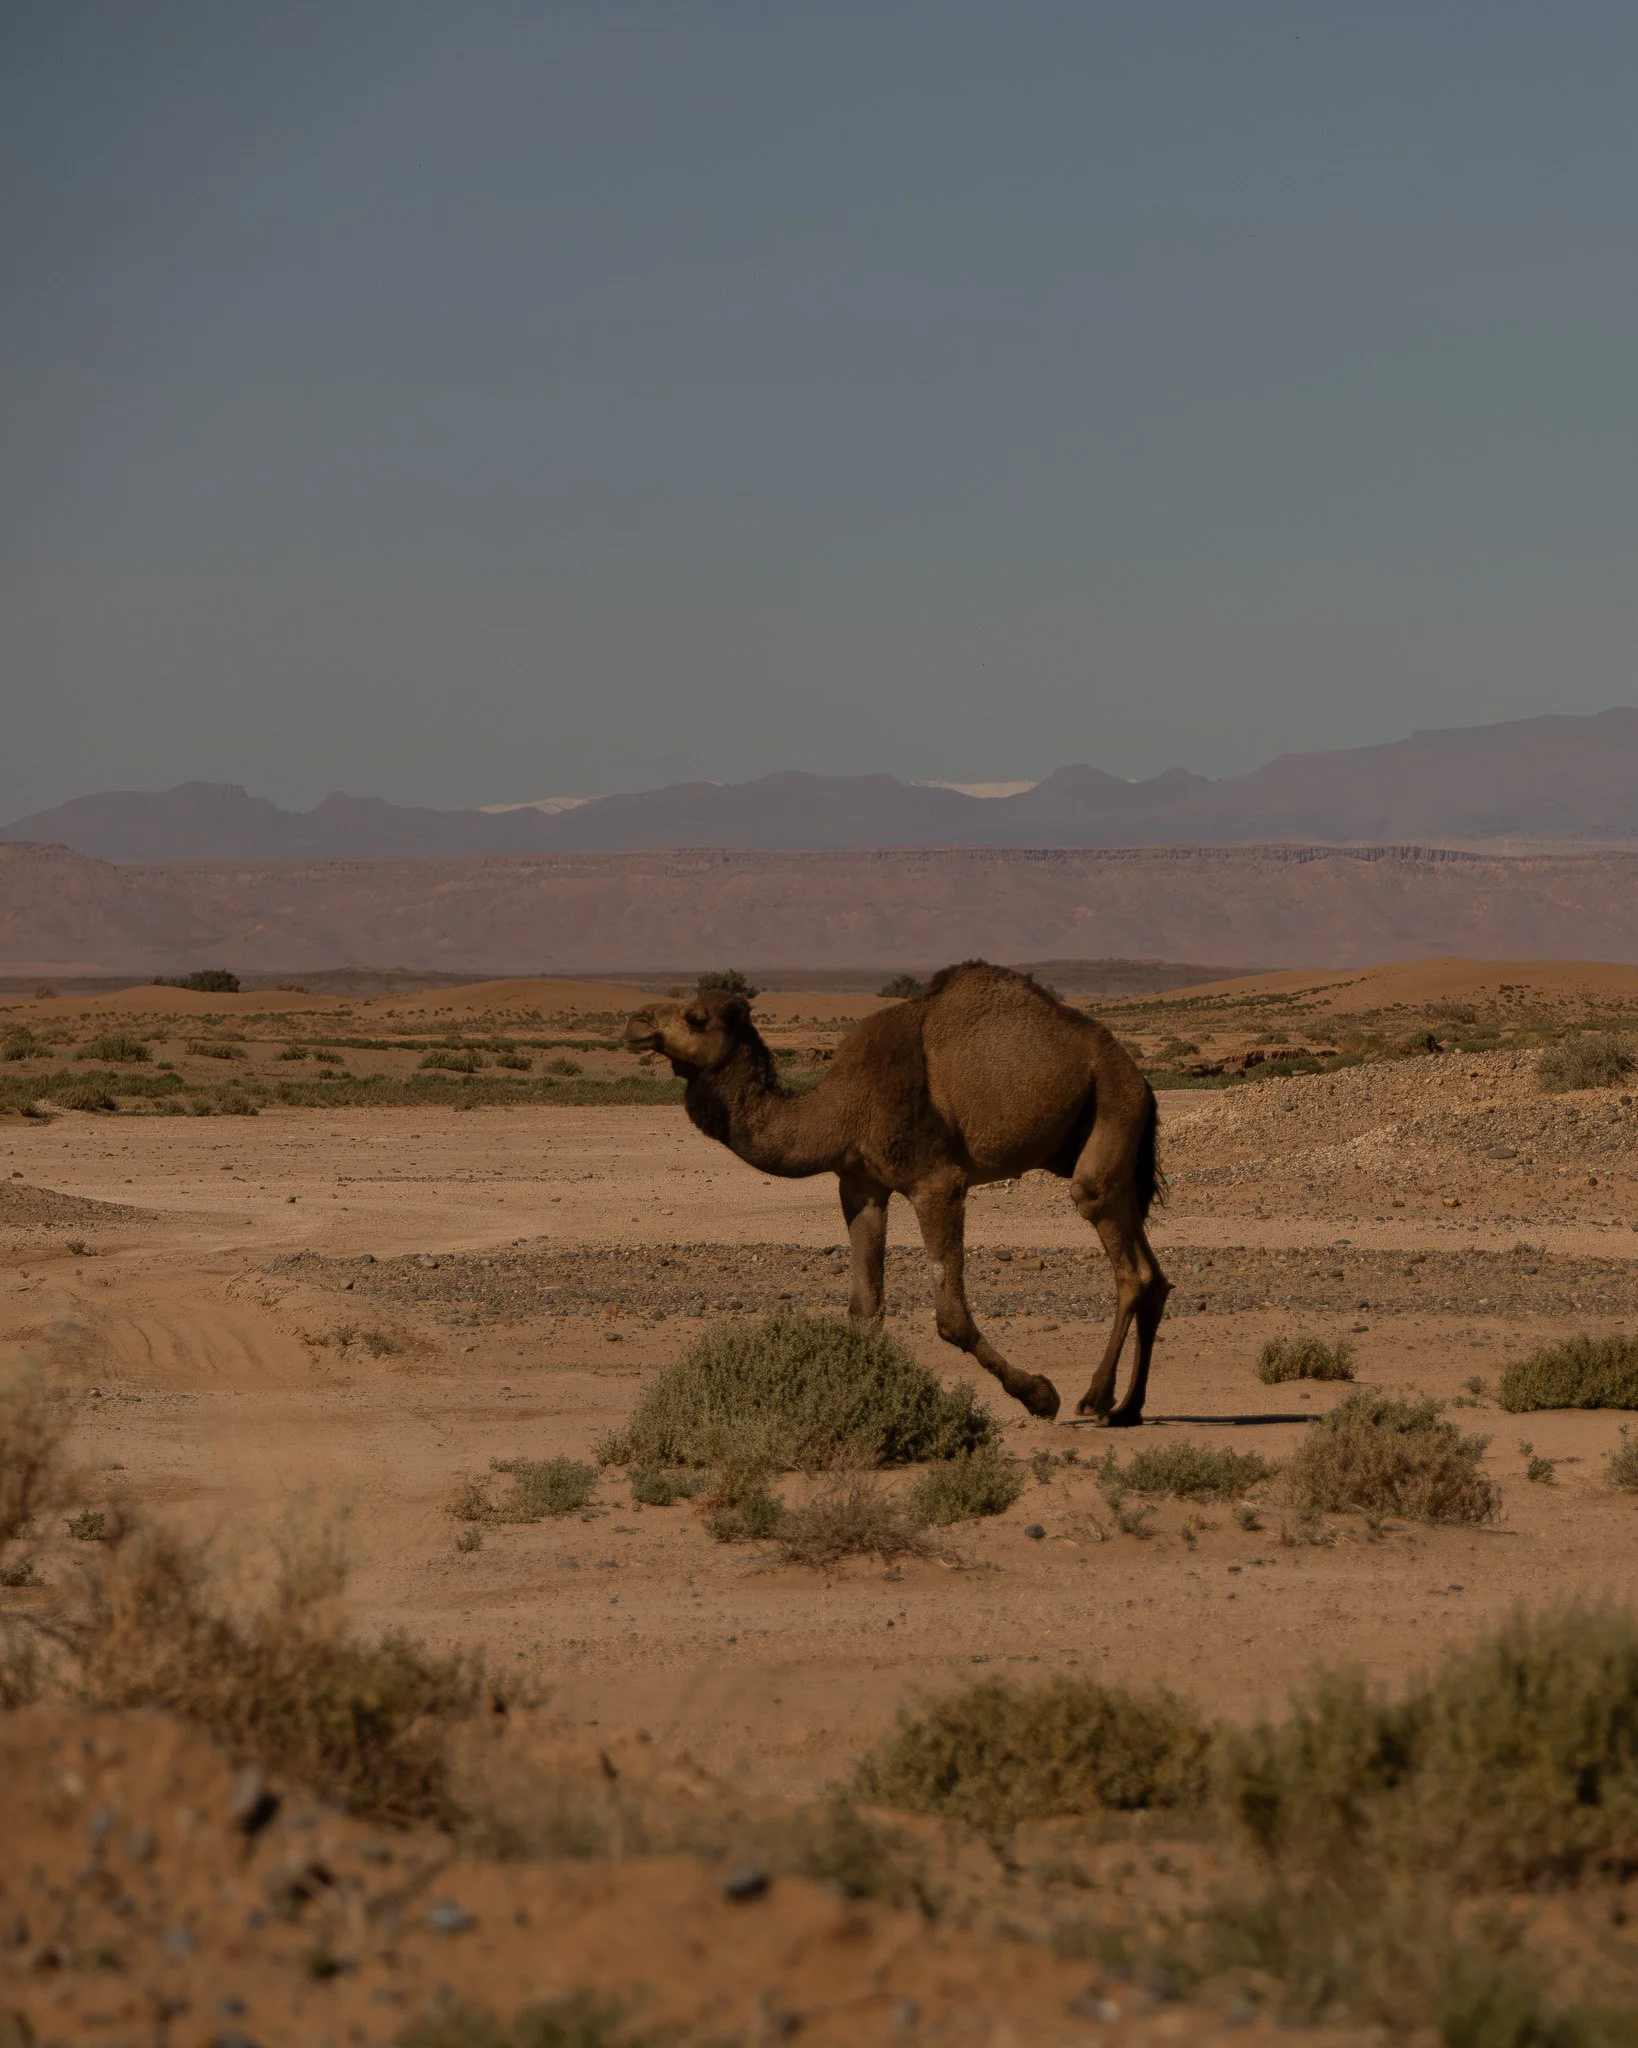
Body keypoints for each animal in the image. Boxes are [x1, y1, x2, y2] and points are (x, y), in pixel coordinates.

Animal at [623, 960, 1170, 1424]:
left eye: (695, 1018)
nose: (634, 1021)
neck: (840, 1107)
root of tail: (1140, 1076)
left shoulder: (936, 1184)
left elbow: (951, 1317)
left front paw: (1040, 1395)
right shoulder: (861, 1186)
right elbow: (866, 1308)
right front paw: (859, 1409)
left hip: (1112, 1108)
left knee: (1124, 1260)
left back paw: (1095, 1398)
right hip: (1107, 1142)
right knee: (1154, 1275)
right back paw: (1129, 1408)